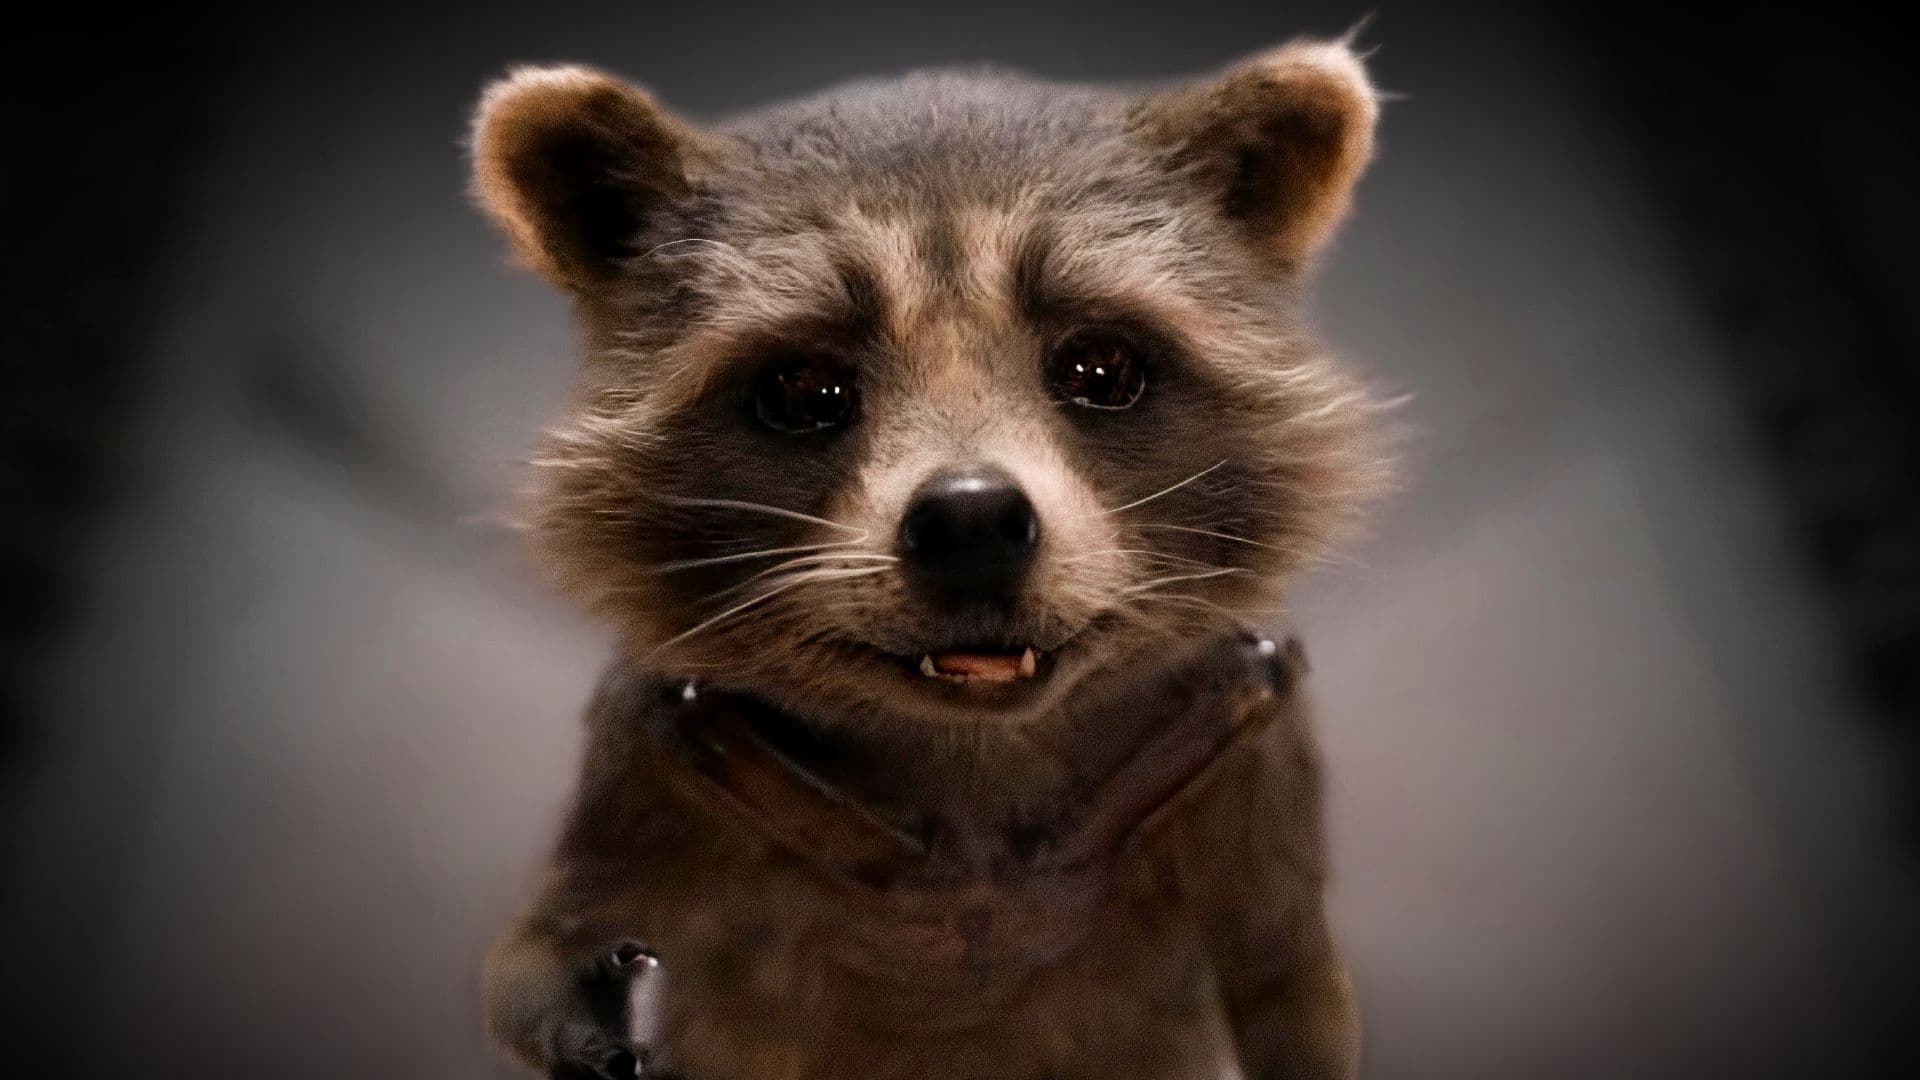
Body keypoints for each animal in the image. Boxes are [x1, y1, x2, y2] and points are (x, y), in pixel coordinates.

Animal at [471, 35, 1386, 1080]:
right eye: (804, 388)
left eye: (1100, 368)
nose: (971, 520)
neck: (973, 753)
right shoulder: (642, 779)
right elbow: (522, 967)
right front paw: (587, 1008)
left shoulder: (1257, 759)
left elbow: (1297, 995)